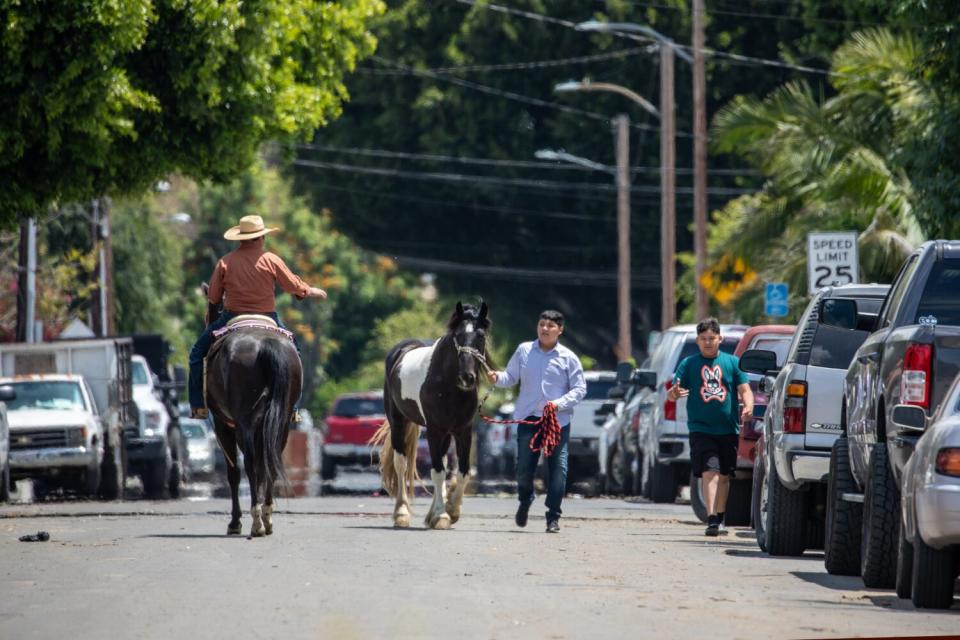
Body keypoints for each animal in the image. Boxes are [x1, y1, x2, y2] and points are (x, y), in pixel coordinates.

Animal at [206, 320, 300, 536]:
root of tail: (265, 344)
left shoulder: (223, 424)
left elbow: (234, 472)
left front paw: (235, 522)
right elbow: (262, 466)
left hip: (244, 422)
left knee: (249, 463)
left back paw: (256, 521)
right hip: (281, 421)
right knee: (271, 461)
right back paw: (266, 517)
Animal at [368, 302, 488, 528]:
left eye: (481, 336)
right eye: (458, 335)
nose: (467, 377)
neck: (449, 386)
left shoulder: (463, 431)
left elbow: (462, 471)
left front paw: (451, 510)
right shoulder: (434, 430)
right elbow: (437, 472)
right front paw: (442, 515)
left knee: (442, 462)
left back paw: (429, 515)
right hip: (398, 423)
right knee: (401, 464)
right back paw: (402, 513)